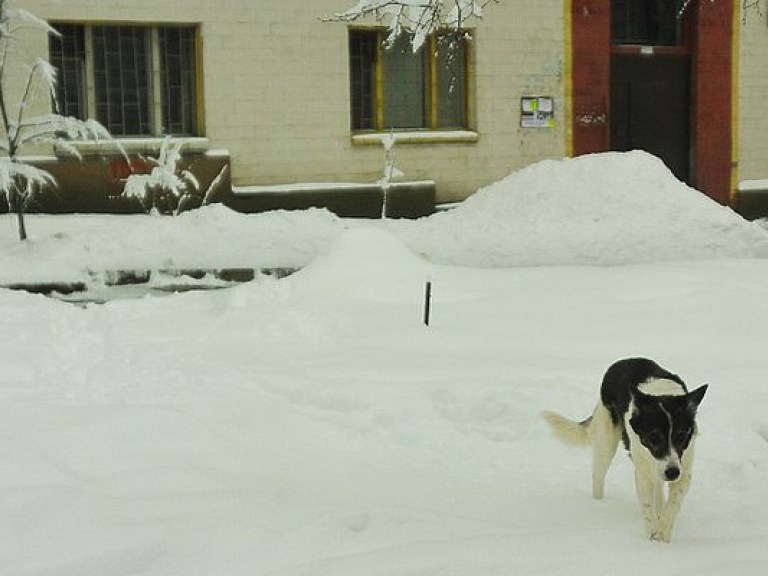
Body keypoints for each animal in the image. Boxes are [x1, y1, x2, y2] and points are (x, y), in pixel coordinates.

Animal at [544, 358, 704, 544]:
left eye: (681, 435)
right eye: (654, 437)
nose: (672, 473)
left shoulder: (683, 468)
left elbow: (673, 504)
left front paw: (662, 534)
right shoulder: (644, 471)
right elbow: (648, 507)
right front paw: (652, 539)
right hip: (605, 444)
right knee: (597, 479)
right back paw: (598, 504)